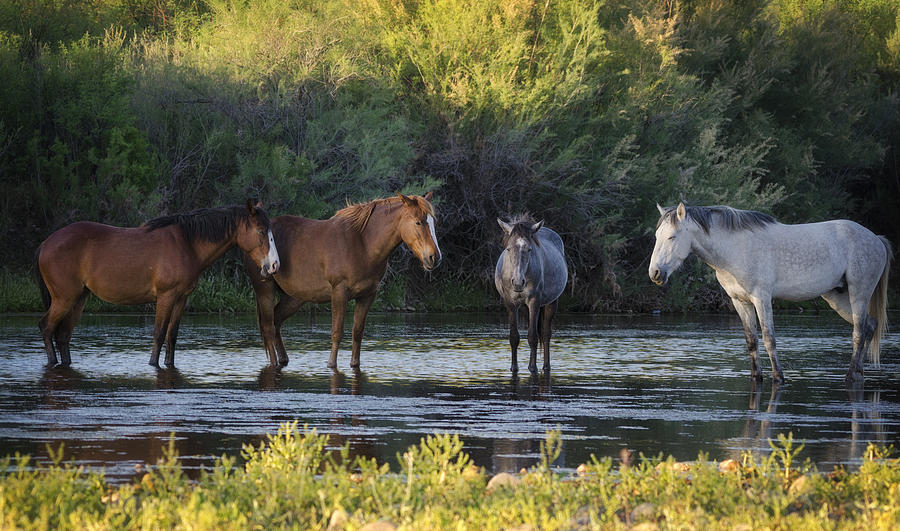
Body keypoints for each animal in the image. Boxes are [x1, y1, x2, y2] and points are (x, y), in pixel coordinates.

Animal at [37, 203, 280, 370]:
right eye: (261, 231)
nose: (274, 265)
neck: (188, 243)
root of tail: (46, 243)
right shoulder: (166, 296)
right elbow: (159, 333)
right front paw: (153, 364)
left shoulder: (182, 298)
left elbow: (172, 335)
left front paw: (169, 364)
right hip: (64, 299)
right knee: (46, 327)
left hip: (79, 298)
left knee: (63, 335)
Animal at [244, 192, 442, 370]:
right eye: (418, 222)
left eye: (434, 223)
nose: (434, 257)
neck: (363, 244)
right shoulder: (339, 292)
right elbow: (337, 332)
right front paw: (331, 365)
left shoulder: (368, 295)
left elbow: (357, 332)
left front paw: (355, 364)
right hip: (264, 290)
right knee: (268, 326)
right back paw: (274, 362)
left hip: (294, 298)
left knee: (276, 321)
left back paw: (283, 359)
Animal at [496, 215, 568, 374]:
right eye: (508, 248)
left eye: (529, 249)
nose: (518, 282)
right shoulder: (510, 304)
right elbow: (514, 337)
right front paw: (514, 368)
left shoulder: (534, 302)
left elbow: (533, 337)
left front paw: (533, 367)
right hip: (524, 308)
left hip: (550, 303)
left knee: (546, 334)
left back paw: (546, 366)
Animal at [648, 203, 892, 382]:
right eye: (657, 236)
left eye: (671, 237)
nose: (655, 273)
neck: (736, 248)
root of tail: (876, 239)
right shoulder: (740, 301)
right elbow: (751, 340)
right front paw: (756, 377)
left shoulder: (761, 298)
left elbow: (768, 339)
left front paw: (778, 377)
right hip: (837, 298)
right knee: (869, 326)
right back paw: (859, 373)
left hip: (859, 293)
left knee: (858, 333)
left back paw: (850, 376)